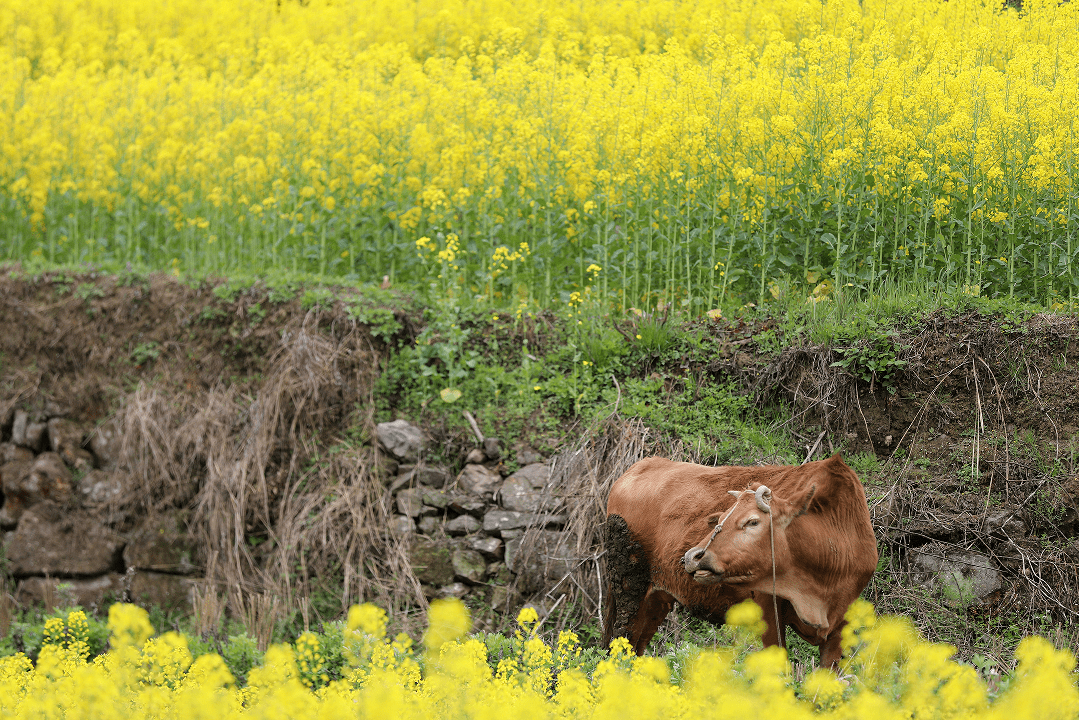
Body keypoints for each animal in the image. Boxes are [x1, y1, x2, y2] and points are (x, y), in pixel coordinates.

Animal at [604, 453, 880, 669]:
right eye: (719, 519)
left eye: (752, 521)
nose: (693, 556)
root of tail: (635, 469)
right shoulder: (768, 611)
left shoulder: (840, 625)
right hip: (629, 592)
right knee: (620, 646)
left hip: (657, 599)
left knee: (637, 648)